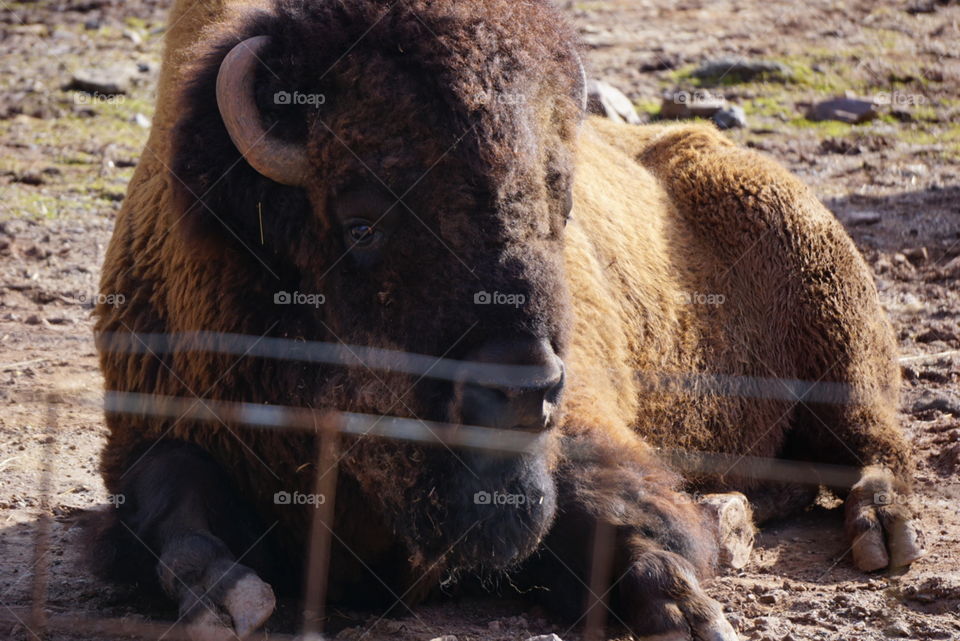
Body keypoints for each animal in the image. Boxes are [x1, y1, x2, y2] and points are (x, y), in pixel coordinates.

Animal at [92, 0, 924, 636]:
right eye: (362, 221)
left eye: (560, 203)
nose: (522, 390)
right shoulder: (151, 427)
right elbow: (173, 501)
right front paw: (225, 599)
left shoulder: (584, 428)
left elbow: (618, 512)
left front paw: (686, 611)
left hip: (842, 353)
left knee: (877, 445)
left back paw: (884, 533)